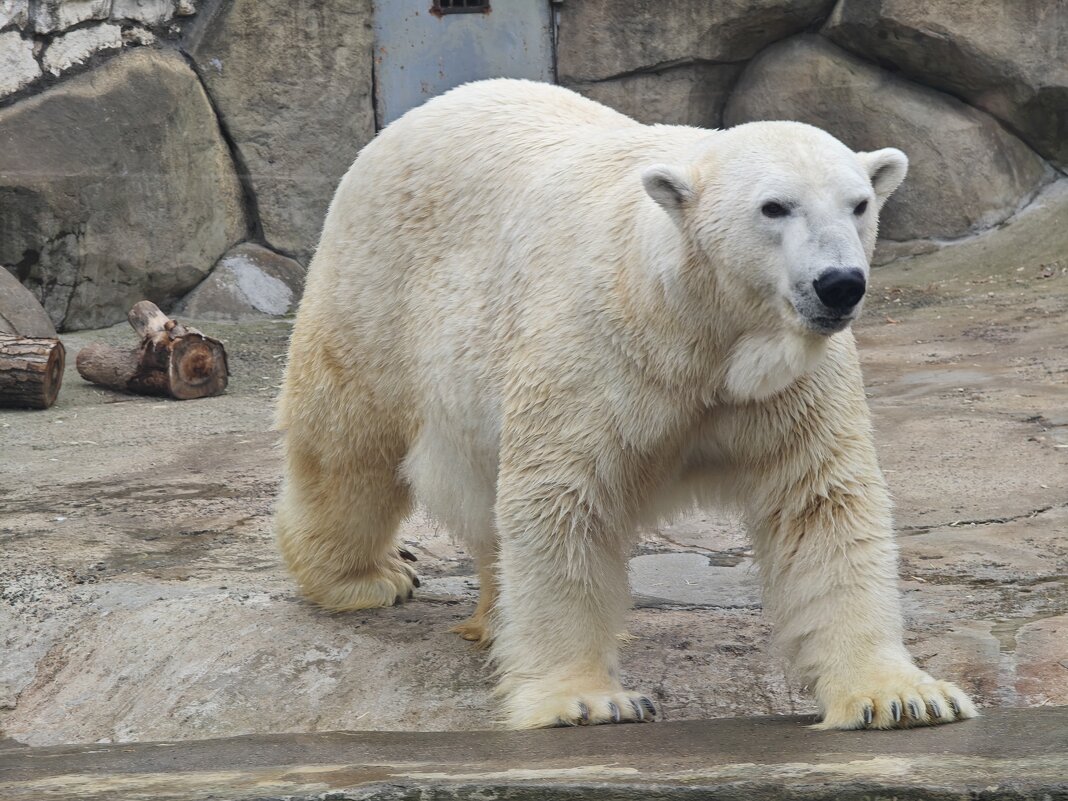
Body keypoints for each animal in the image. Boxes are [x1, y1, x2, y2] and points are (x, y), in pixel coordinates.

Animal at [275, 78, 978, 730]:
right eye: (774, 207)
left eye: (859, 203)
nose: (839, 284)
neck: (693, 325)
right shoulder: (598, 352)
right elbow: (562, 500)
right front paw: (586, 700)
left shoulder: (793, 386)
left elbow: (822, 503)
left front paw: (902, 696)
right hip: (377, 286)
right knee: (348, 441)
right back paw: (363, 578)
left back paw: (494, 619)